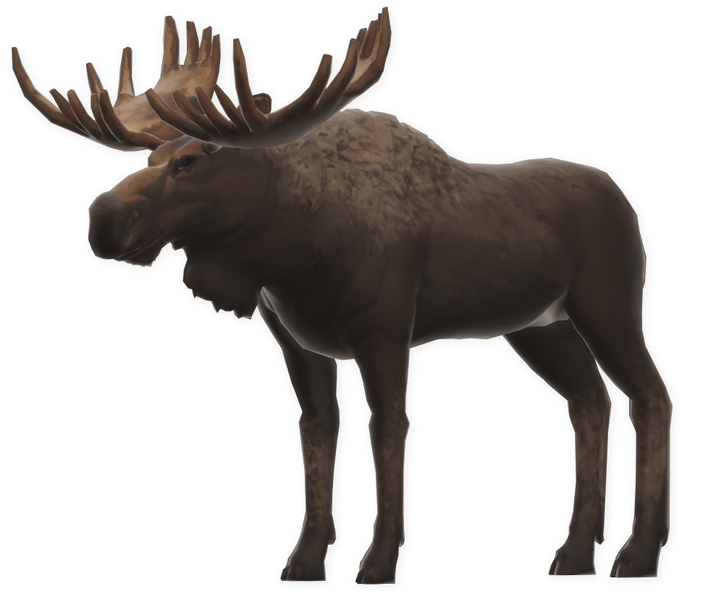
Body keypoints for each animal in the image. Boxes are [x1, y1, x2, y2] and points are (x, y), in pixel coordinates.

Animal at [8, 5, 678, 589]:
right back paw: (576, 556)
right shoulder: (299, 343)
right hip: (538, 327)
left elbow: (388, 431)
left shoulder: (384, 334)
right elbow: (318, 436)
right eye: (152, 155)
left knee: (651, 396)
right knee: (589, 402)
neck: (290, 252)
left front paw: (379, 565)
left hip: (606, 305)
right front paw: (306, 564)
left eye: (192, 162)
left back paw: (638, 557)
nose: (101, 220)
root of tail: (628, 204)